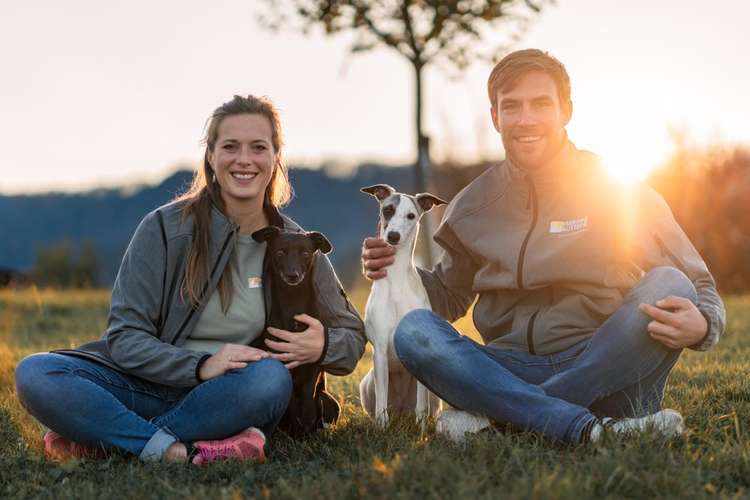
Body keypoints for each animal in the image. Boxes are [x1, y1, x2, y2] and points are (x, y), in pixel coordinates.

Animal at [362, 185, 450, 430]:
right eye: (388, 209)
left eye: (411, 215)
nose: (393, 236)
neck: (397, 280)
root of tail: (402, 411)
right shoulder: (380, 350)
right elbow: (381, 405)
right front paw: (382, 429)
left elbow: (421, 406)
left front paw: (422, 431)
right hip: (367, 384)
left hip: (433, 390)